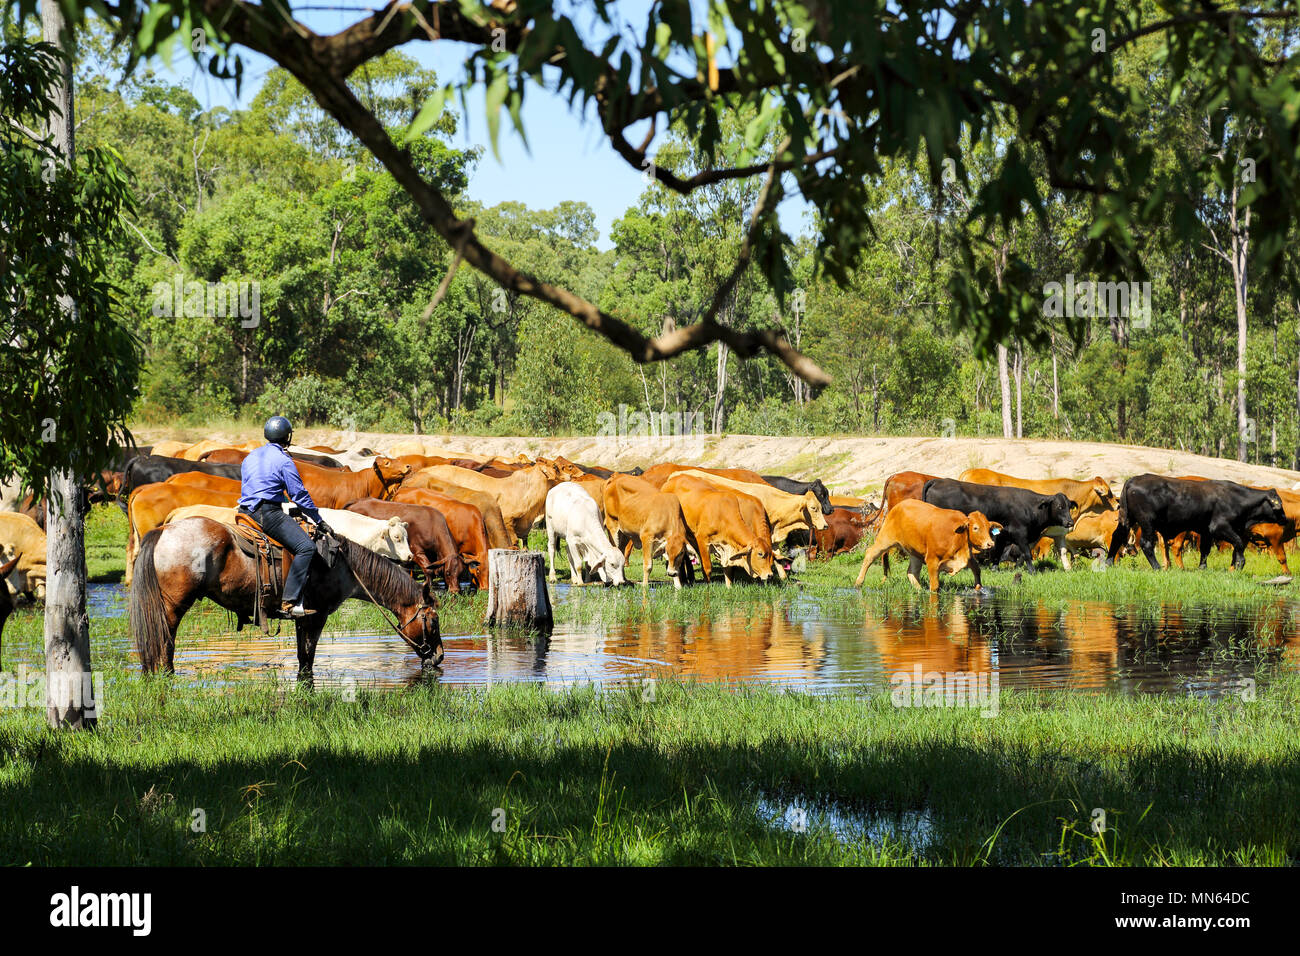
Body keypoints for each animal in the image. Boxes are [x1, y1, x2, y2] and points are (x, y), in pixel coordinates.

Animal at [128, 520, 441, 676]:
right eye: (433, 621)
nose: (438, 657)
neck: (341, 564)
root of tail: (164, 530)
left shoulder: (304, 620)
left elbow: (303, 657)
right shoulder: (317, 616)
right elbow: (308, 659)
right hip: (172, 608)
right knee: (165, 644)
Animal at [925, 476, 1076, 572]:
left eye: (1069, 506)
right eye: (1059, 506)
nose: (1070, 522)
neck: (1030, 507)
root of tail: (938, 480)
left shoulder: (1003, 535)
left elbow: (998, 553)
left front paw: (995, 569)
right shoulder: (1020, 534)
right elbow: (1027, 554)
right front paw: (1032, 571)